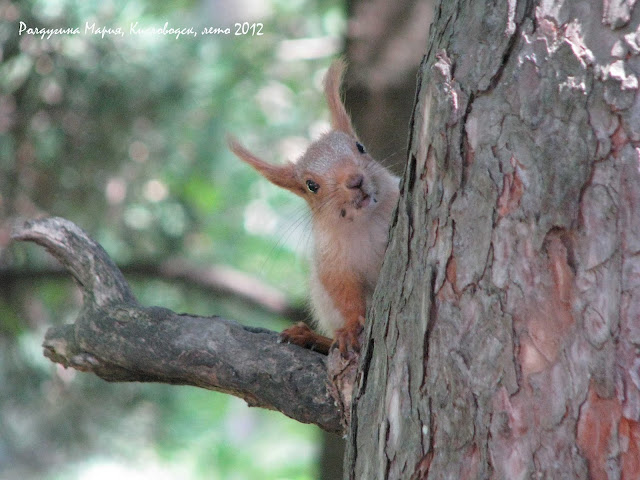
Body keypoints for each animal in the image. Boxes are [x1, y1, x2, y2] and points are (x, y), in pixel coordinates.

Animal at [228, 59, 398, 352]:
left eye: (360, 147)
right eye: (311, 185)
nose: (354, 181)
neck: (364, 223)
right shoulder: (331, 264)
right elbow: (347, 298)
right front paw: (350, 329)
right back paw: (312, 337)